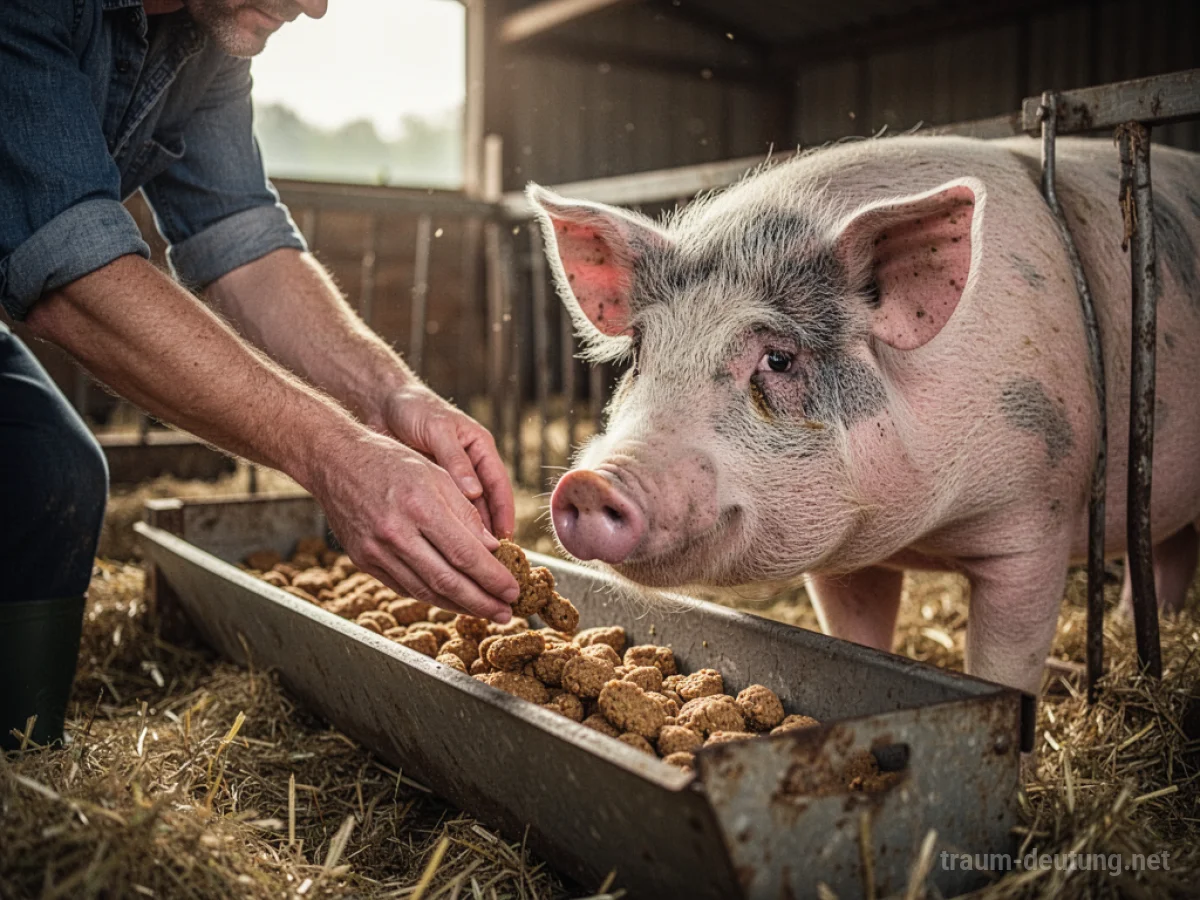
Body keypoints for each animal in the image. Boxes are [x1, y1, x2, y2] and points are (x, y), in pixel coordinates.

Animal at [528, 135, 1200, 695]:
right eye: (642, 353)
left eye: (778, 358)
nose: (590, 483)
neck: (925, 536)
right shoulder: (843, 565)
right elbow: (856, 637)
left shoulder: (1037, 515)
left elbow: (1005, 670)